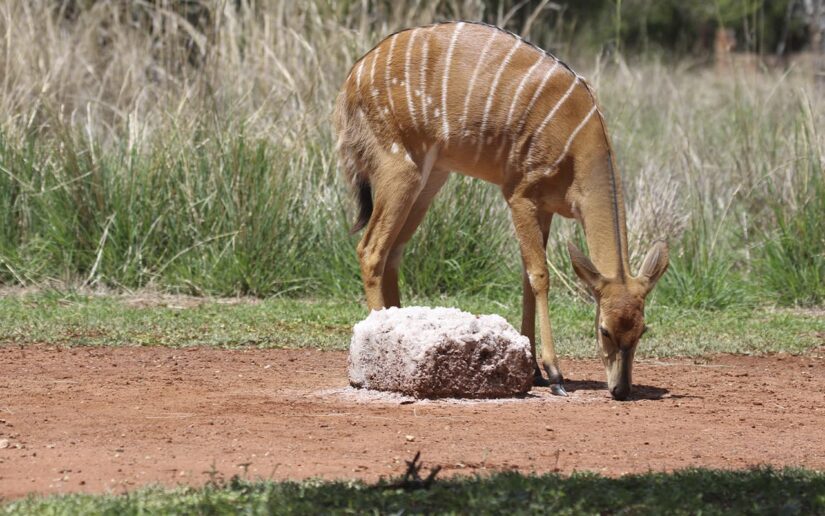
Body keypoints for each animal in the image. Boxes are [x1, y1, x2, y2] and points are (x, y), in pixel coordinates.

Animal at [334, 21, 668, 400]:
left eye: (642, 330)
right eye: (604, 330)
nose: (621, 389)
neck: (579, 147)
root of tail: (352, 78)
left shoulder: (545, 208)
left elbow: (526, 277)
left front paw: (534, 371)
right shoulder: (519, 194)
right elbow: (540, 276)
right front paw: (554, 375)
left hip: (429, 178)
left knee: (393, 251)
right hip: (399, 168)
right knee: (371, 249)